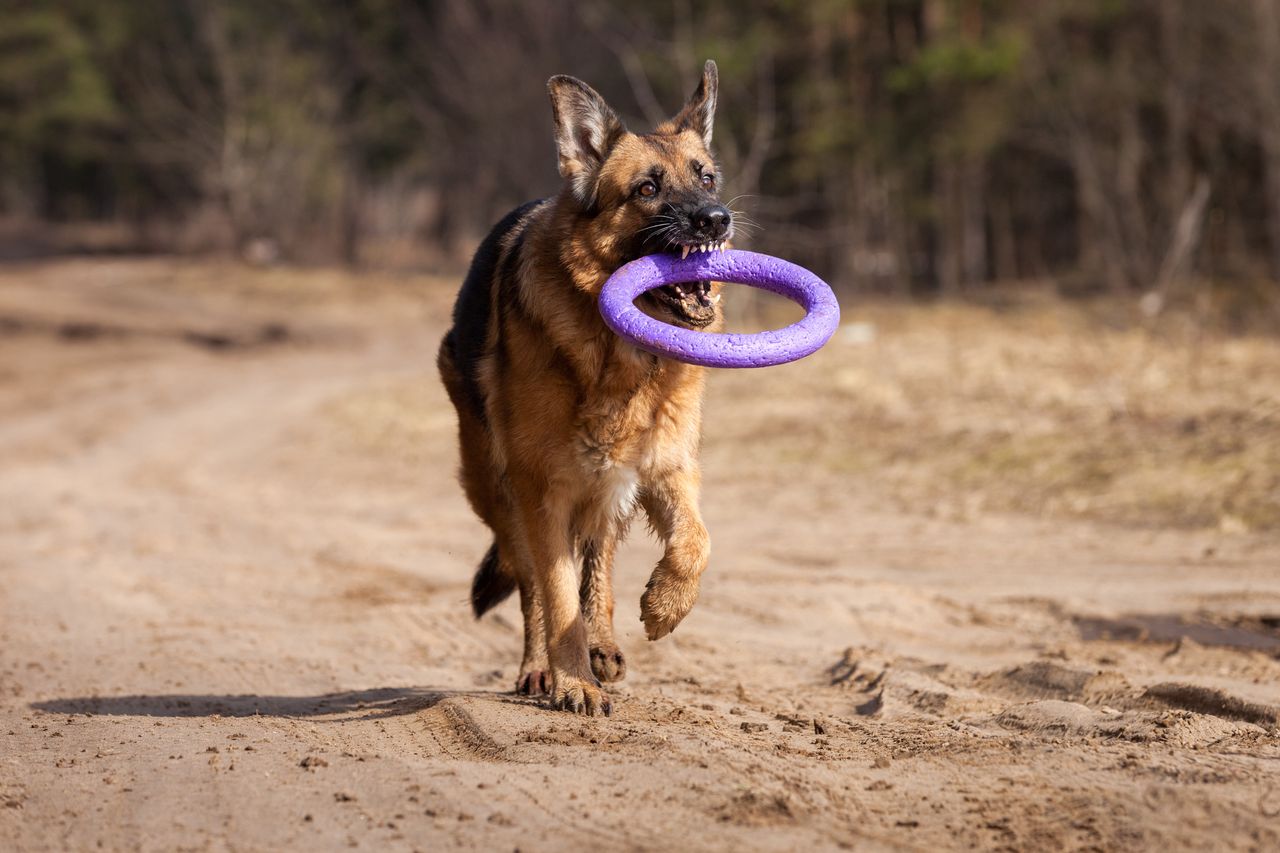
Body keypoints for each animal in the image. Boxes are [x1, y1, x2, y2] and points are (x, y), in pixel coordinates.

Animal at [437, 58, 732, 712]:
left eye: (707, 179)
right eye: (646, 189)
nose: (717, 219)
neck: (619, 357)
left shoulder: (666, 469)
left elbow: (697, 541)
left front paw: (666, 605)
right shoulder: (541, 490)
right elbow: (554, 590)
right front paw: (571, 680)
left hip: (604, 488)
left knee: (598, 561)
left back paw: (603, 643)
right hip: (500, 490)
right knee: (531, 582)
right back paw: (540, 668)